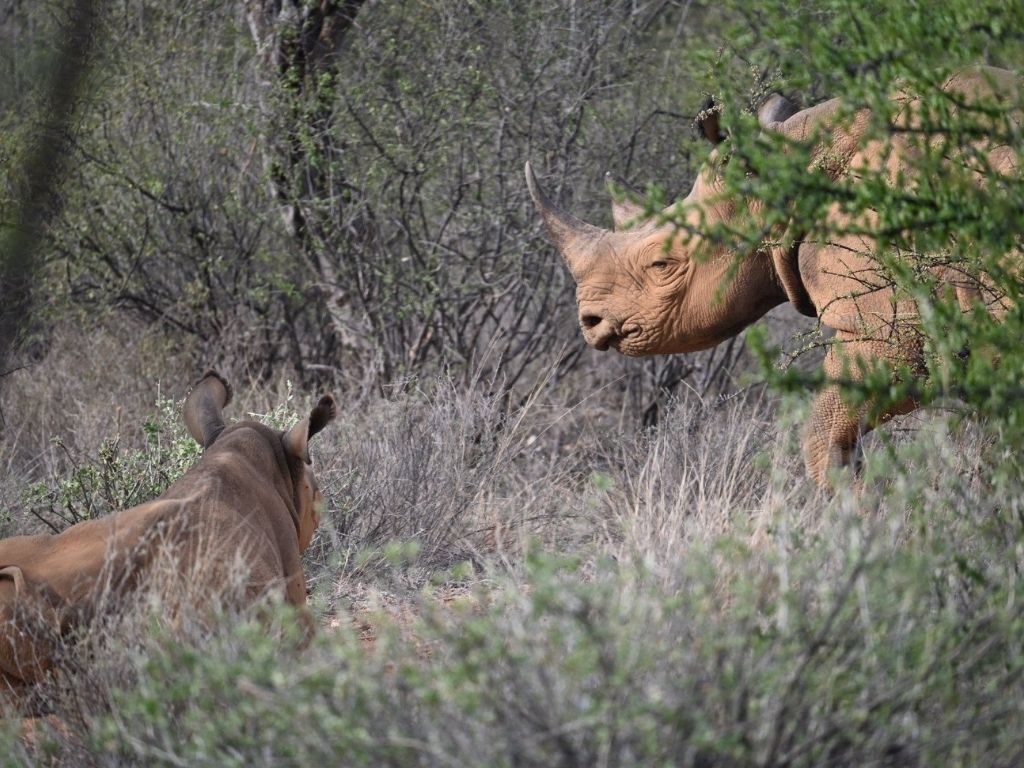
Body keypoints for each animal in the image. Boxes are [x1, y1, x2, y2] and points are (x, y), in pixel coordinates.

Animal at [527, 65, 1020, 485]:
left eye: (662, 264)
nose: (590, 322)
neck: (787, 169)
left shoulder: (890, 324)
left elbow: (825, 434)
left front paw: (859, 515)